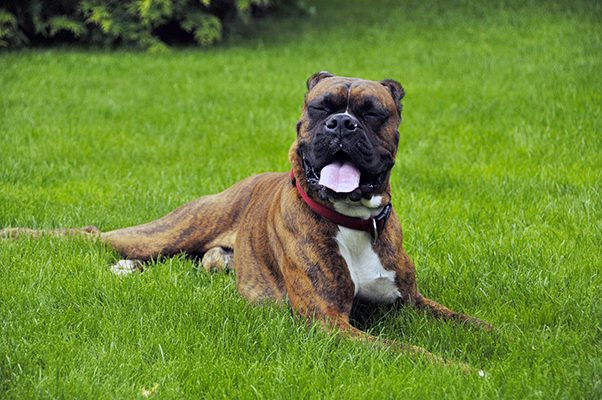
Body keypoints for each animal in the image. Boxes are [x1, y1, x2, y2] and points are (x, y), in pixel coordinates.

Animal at [0, 71, 488, 360]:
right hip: (166, 231)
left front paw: (503, 343)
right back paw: (19, 234)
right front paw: (460, 370)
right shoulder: (329, 323)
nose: (342, 124)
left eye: (372, 113)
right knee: (92, 233)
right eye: (321, 108)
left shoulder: (413, 302)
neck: (352, 222)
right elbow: (409, 351)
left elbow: (474, 323)